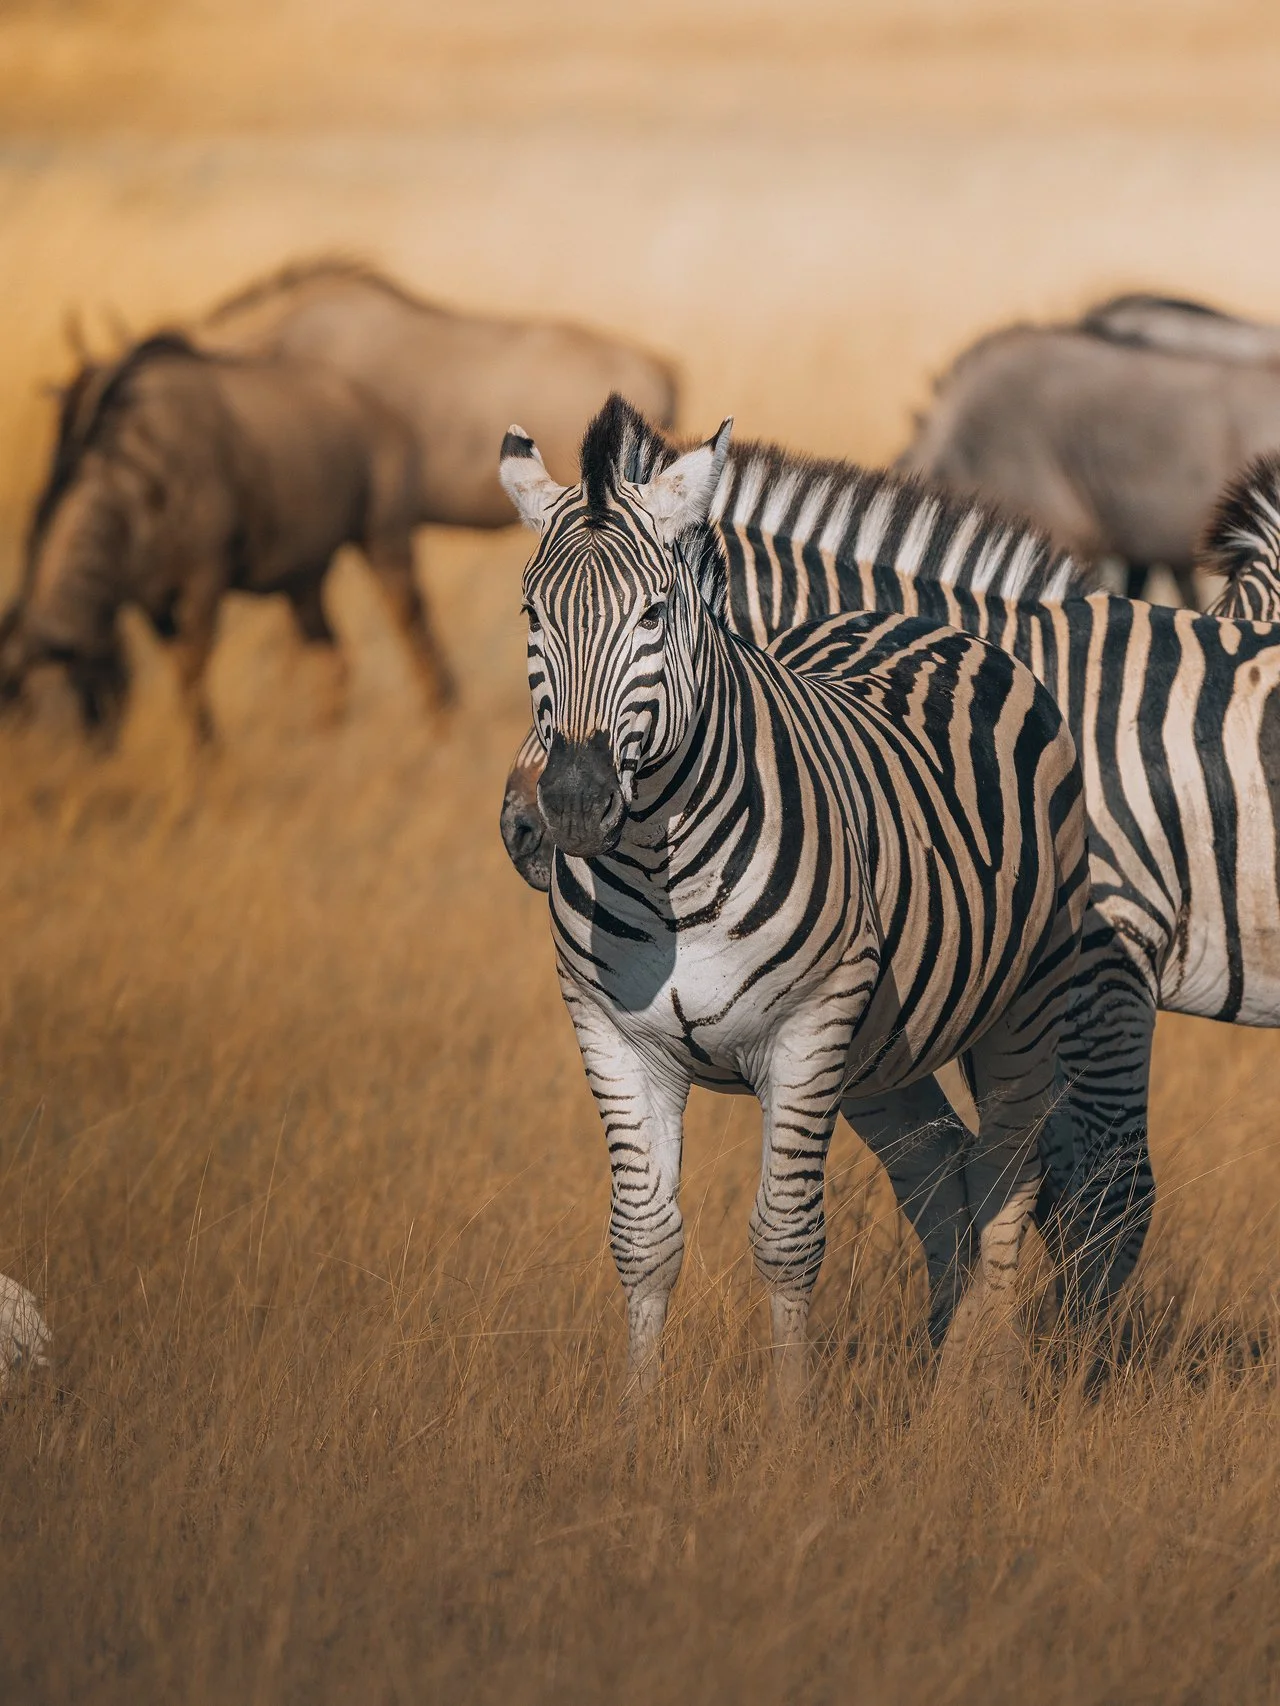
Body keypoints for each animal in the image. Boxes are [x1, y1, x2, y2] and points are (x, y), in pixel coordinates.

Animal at [500, 398, 1280, 1332]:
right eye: (530, 621)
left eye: (653, 620)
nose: (533, 824)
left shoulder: (1105, 966)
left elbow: (1102, 1193)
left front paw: (1068, 1367)